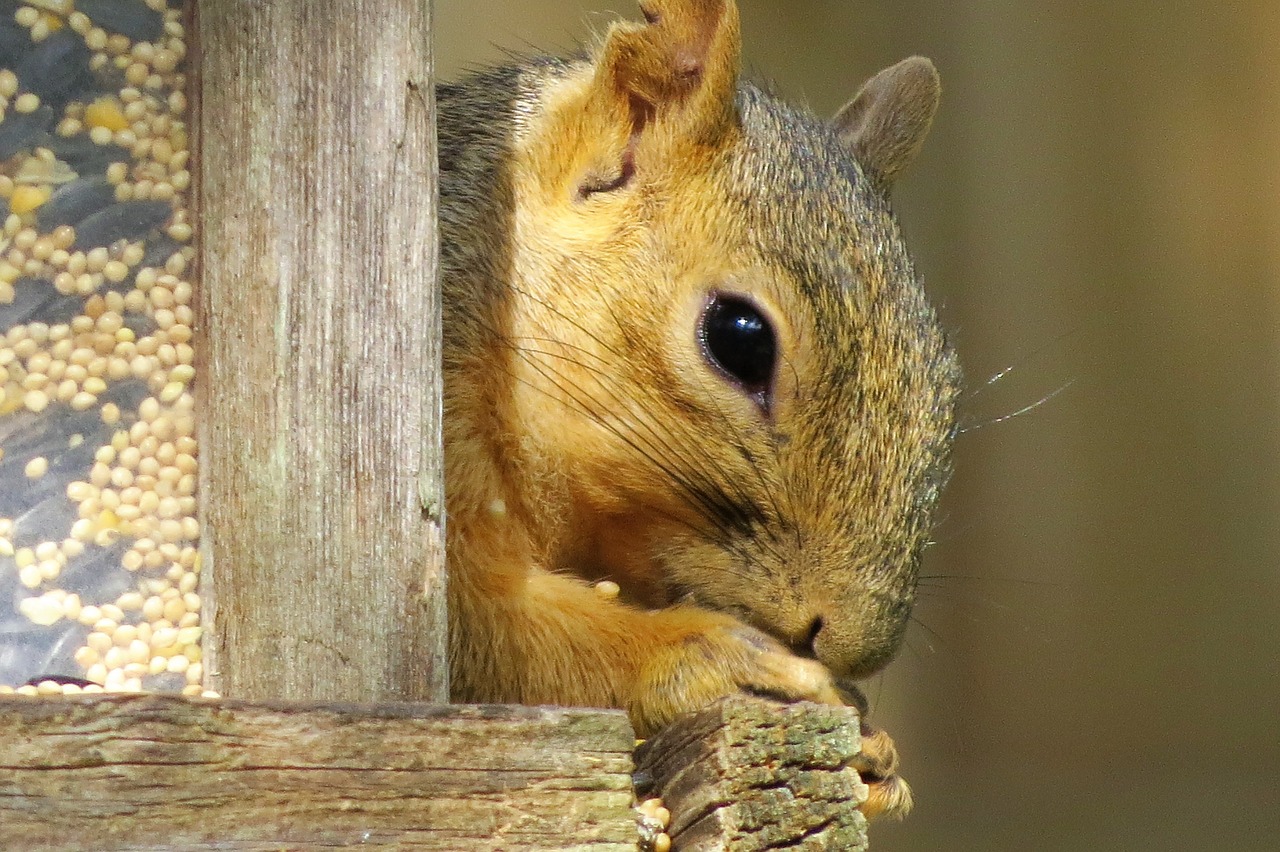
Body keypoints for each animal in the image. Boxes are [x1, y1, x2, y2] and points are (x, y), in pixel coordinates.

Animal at [435, 1, 957, 823]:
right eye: (740, 339)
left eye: (945, 378)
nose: (851, 645)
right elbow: (482, 631)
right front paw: (711, 659)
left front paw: (874, 750)